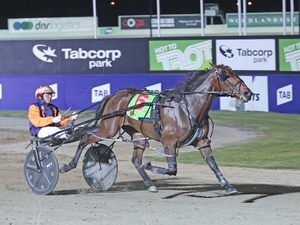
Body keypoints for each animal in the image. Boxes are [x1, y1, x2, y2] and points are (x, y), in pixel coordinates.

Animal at [59, 64, 252, 194]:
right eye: (226, 75)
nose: (248, 93)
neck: (188, 108)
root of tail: (114, 95)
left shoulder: (202, 142)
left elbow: (213, 164)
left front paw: (228, 185)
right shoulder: (169, 143)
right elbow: (172, 169)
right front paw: (150, 165)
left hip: (138, 135)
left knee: (135, 160)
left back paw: (150, 184)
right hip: (108, 129)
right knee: (85, 138)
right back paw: (67, 165)